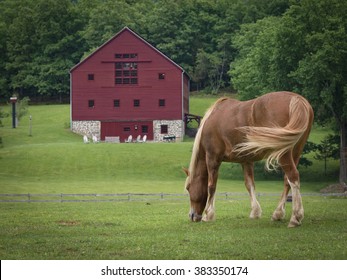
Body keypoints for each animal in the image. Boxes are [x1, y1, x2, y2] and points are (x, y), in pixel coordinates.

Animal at [185, 92, 316, 228]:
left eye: (188, 188)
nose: (192, 216)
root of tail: (297, 99)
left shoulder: (212, 158)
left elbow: (211, 186)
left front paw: (208, 215)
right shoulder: (246, 161)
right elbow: (249, 184)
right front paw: (255, 212)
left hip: (283, 153)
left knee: (293, 177)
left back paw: (295, 217)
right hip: (296, 151)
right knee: (287, 180)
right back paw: (278, 214)